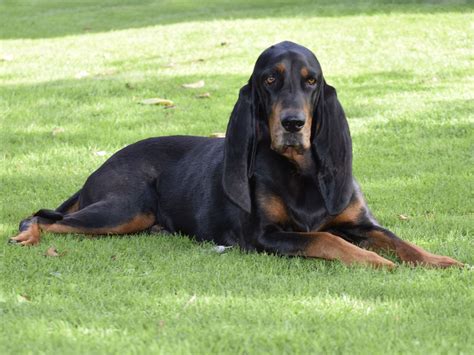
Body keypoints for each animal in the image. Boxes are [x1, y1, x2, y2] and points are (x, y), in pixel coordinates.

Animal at [9, 41, 462, 268]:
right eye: (269, 80)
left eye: (311, 81)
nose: (294, 124)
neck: (301, 171)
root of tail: (98, 168)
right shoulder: (264, 235)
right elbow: (325, 238)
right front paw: (374, 261)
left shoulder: (362, 223)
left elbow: (401, 242)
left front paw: (440, 260)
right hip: (125, 208)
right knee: (41, 217)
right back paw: (28, 236)